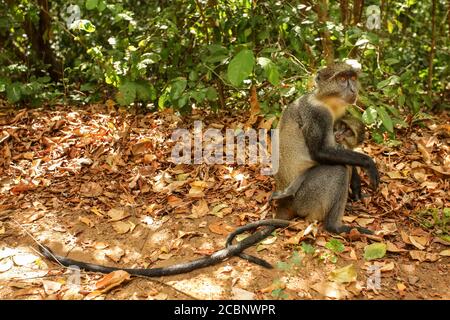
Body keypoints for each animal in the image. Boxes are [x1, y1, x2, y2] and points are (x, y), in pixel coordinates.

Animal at [270, 61, 380, 234]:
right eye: (342, 79)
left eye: (353, 78)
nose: (353, 90)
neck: (325, 100)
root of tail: (285, 203)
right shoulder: (318, 114)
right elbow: (320, 152)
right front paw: (369, 163)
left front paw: (356, 185)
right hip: (305, 197)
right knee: (339, 170)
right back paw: (335, 227)